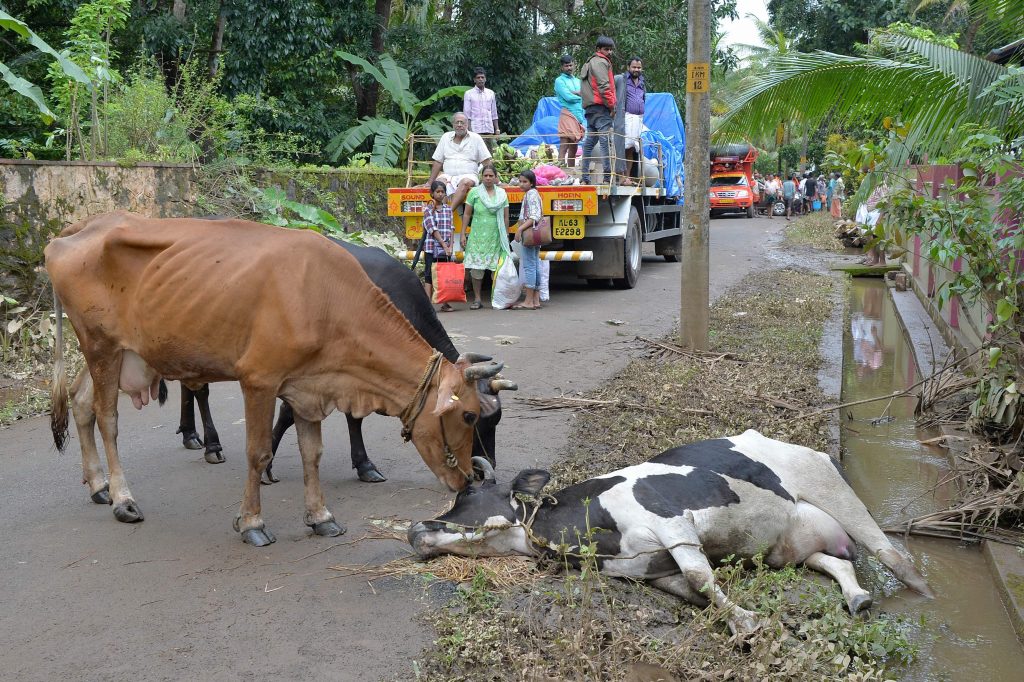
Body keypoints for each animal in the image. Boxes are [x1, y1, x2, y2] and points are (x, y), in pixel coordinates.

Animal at [48, 209, 503, 544]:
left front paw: (321, 516)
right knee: (107, 419)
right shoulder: (260, 380)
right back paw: (123, 499)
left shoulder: (309, 387)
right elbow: (258, 452)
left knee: (81, 404)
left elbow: (311, 453)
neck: (328, 298)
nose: (469, 481)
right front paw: (252, 522)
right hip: (101, 346)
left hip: (116, 351)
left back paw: (97, 486)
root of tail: (79, 228)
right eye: (469, 415)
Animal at [403, 430, 933, 630]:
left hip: (828, 484)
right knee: (836, 561)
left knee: (891, 553)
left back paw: (923, 594)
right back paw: (857, 597)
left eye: (467, 497)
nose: (413, 529)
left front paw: (748, 622)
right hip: (793, 546)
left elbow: (702, 578)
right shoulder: (651, 572)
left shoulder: (673, 522)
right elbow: (696, 592)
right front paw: (737, 618)